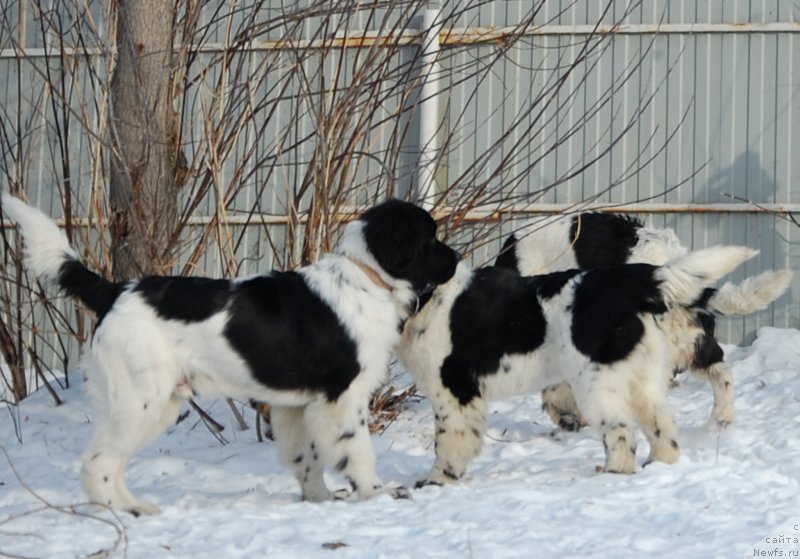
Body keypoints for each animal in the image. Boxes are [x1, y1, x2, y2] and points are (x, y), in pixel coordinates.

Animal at [3, 194, 460, 516]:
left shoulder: (297, 405)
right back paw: (122, 510)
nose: (457, 258)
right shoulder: (342, 396)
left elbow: (306, 457)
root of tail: (115, 291)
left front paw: (319, 499)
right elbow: (357, 449)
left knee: (109, 459)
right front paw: (376, 492)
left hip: (154, 403)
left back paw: (134, 507)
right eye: (431, 238)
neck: (366, 279)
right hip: (139, 399)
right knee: (98, 460)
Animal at [400, 245, 764, 486]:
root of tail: (627, 279)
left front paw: (437, 481)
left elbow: (450, 440)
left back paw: (614, 472)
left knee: (622, 432)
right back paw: (659, 463)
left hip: (601, 382)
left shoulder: (453, 389)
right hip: (642, 376)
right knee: (662, 423)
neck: (431, 299)